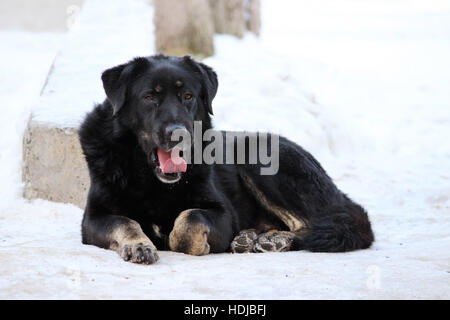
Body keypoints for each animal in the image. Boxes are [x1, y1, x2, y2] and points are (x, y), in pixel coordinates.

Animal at [79, 55, 374, 264]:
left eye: (188, 96)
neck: (151, 179)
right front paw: (140, 244)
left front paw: (182, 240)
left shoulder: (222, 214)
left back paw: (275, 239)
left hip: (259, 154)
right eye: (149, 97)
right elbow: (125, 222)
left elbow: (189, 221)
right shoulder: (94, 217)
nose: (179, 134)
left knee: (314, 224)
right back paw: (251, 237)